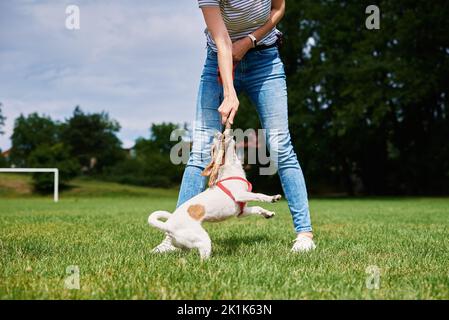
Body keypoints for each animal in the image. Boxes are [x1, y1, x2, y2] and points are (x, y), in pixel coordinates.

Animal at [147, 130, 280, 260]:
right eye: (212, 149)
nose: (217, 133)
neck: (231, 170)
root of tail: (168, 226)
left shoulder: (241, 212)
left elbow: (257, 208)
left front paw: (268, 213)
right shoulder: (240, 195)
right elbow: (258, 195)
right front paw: (272, 198)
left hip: (184, 243)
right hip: (202, 239)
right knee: (203, 258)